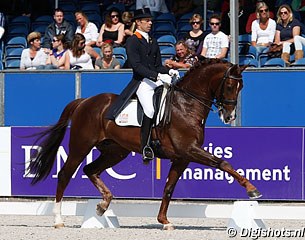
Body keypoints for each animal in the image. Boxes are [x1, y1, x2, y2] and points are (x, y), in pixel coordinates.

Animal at [27, 59, 262, 230]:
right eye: (230, 85)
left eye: (241, 86)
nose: (230, 116)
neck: (186, 105)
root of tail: (84, 101)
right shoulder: (189, 150)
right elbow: (223, 163)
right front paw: (252, 190)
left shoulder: (183, 157)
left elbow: (168, 187)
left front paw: (164, 221)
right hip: (80, 146)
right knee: (65, 174)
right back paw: (58, 220)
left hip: (115, 151)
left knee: (90, 169)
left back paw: (103, 205)